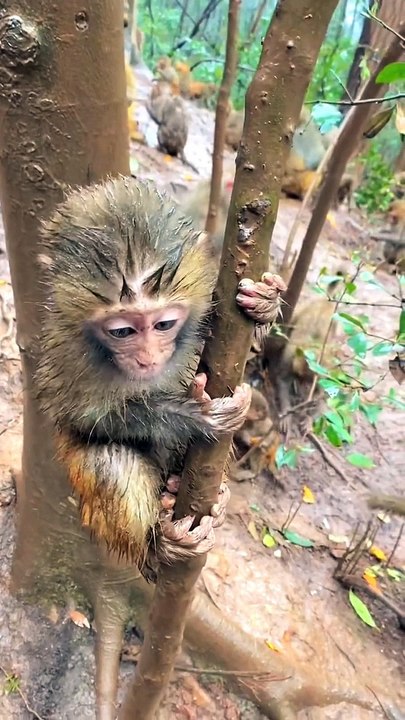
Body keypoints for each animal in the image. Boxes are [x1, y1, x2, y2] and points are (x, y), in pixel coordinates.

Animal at [36, 176, 285, 575]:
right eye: (122, 331)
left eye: (164, 325)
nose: (148, 358)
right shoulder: (64, 349)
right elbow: (81, 417)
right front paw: (195, 415)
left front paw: (264, 305)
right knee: (106, 460)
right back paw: (158, 545)